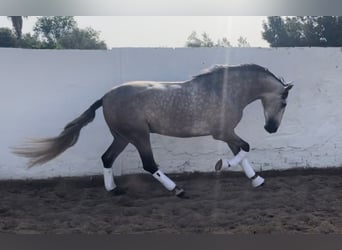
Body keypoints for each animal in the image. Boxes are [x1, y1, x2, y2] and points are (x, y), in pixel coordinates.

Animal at [12, 64, 292, 197]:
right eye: (284, 102)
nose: (271, 128)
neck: (226, 91)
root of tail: (105, 97)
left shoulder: (227, 132)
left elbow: (242, 152)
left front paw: (257, 180)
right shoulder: (222, 132)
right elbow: (244, 148)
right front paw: (222, 165)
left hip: (122, 137)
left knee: (107, 158)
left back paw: (114, 190)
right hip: (138, 135)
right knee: (149, 164)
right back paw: (177, 190)